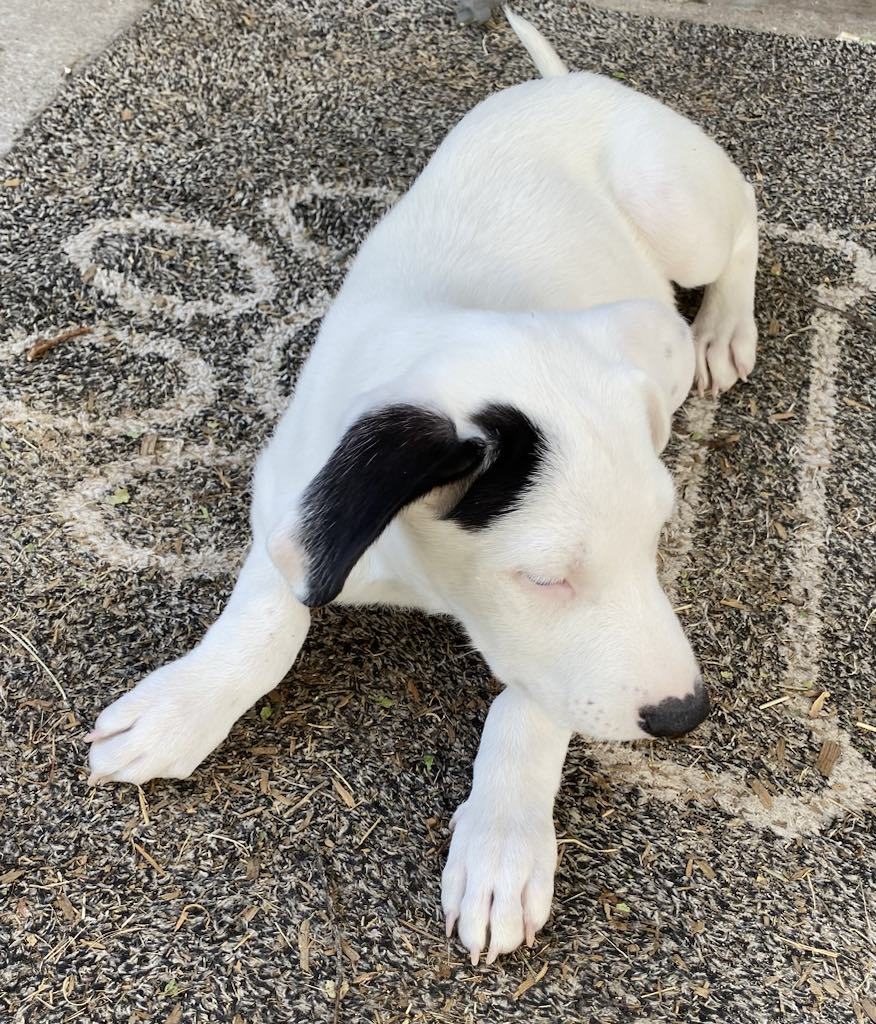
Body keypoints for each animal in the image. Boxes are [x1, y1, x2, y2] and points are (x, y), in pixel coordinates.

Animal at [90, 8, 762, 962]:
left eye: (657, 540)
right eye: (545, 577)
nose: (686, 714)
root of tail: (575, 82)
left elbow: (531, 702)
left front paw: (504, 842)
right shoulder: (297, 495)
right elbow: (267, 619)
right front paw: (182, 706)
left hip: (675, 203)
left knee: (744, 219)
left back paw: (723, 325)